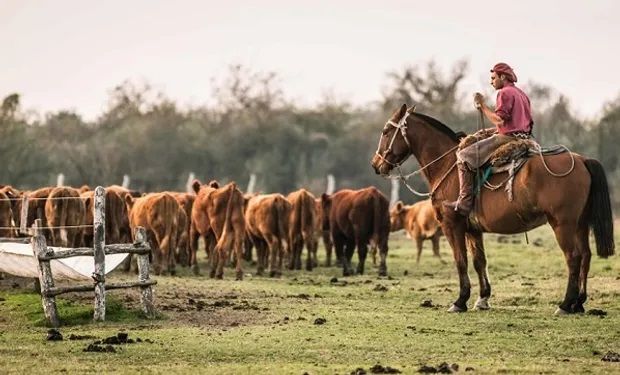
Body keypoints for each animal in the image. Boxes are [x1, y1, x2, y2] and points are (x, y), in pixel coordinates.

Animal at [370, 105, 612, 314]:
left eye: (385, 131)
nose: (375, 164)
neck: (448, 166)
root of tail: (582, 160)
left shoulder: (452, 226)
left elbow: (460, 261)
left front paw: (460, 301)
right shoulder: (473, 230)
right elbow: (479, 262)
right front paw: (482, 299)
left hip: (562, 224)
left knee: (573, 257)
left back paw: (565, 304)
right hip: (580, 224)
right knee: (586, 256)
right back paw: (579, 303)